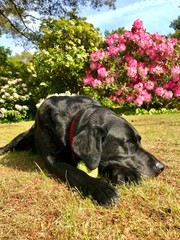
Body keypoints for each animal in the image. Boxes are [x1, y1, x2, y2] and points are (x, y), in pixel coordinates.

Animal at [0, 95, 164, 204]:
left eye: (138, 141)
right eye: (129, 143)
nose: (161, 167)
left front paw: (125, 173)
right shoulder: (51, 159)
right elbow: (75, 172)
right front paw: (101, 189)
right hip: (22, 137)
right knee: (11, 145)